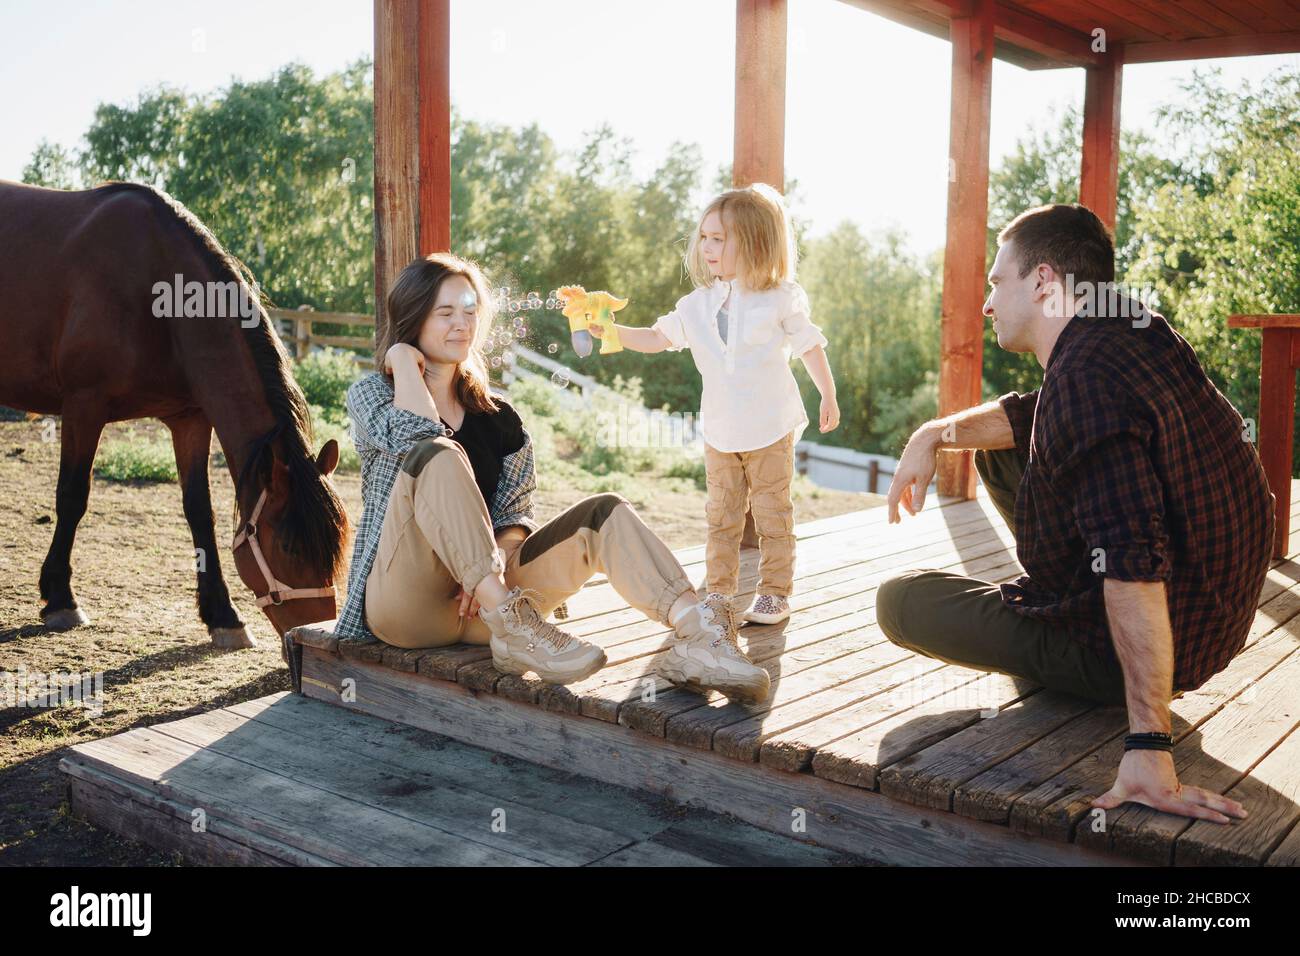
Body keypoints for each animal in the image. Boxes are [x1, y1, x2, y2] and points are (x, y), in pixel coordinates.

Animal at [0, 179, 351, 647]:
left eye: (334, 547)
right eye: (289, 547)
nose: (311, 632)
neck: (155, 289)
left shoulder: (191, 420)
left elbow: (199, 511)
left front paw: (223, 615)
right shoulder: (82, 408)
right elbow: (72, 496)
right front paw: (60, 598)